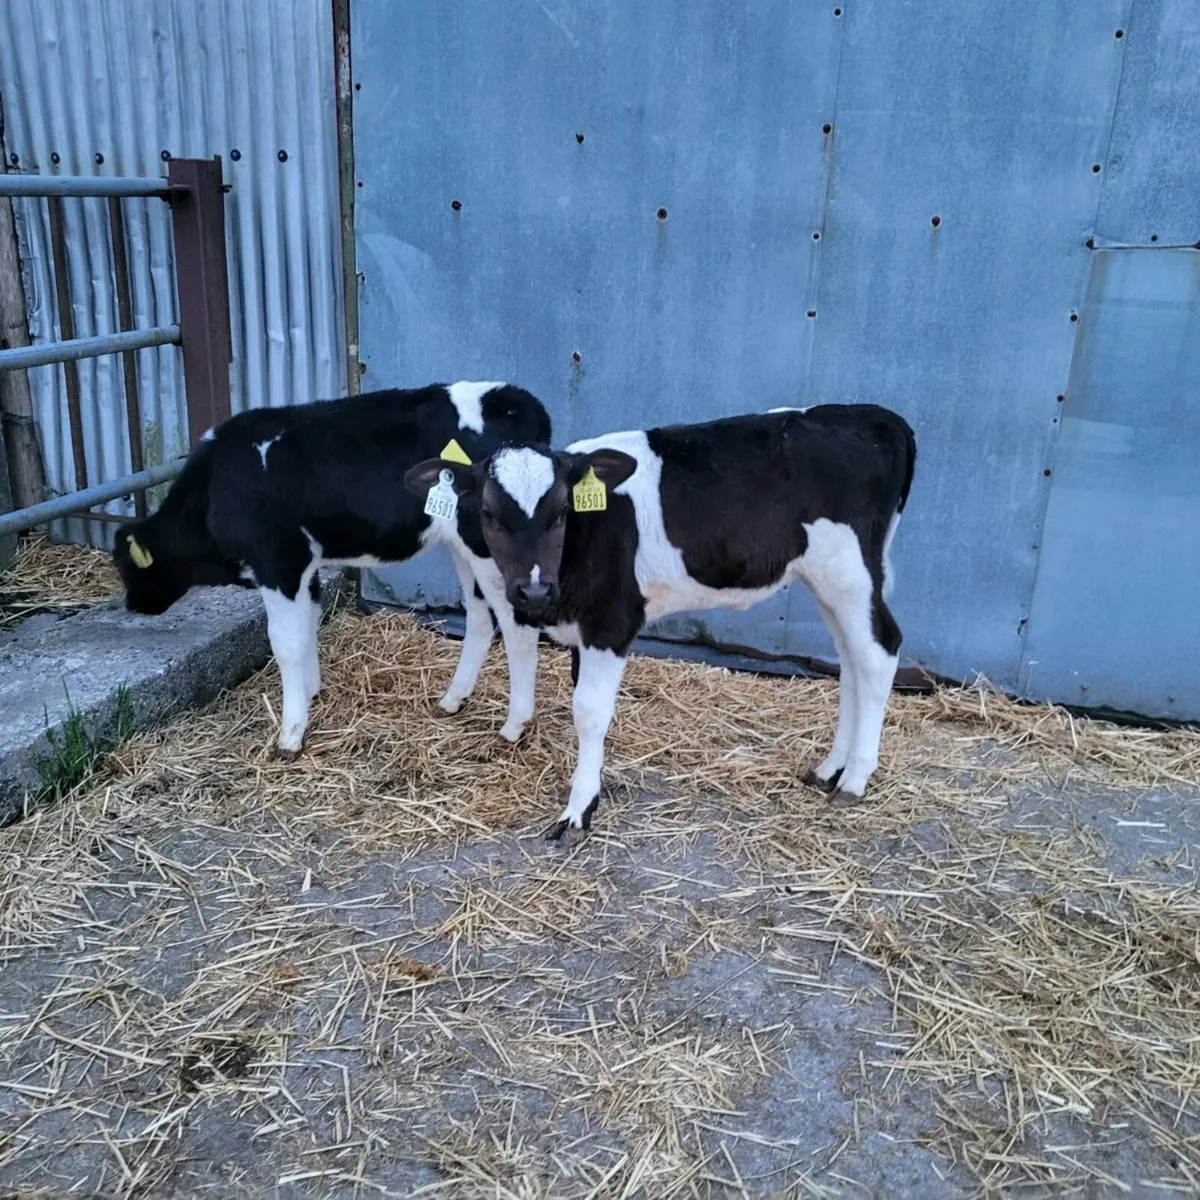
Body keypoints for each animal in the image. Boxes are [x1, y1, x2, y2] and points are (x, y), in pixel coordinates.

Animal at [113, 382, 549, 758]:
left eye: (126, 567)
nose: (132, 605)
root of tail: (512, 398)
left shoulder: (279, 562)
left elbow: (285, 643)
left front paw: (290, 734)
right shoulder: (306, 566)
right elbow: (308, 623)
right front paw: (310, 694)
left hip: (488, 547)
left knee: (518, 624)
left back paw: (514, 725)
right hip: (462, 546)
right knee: (479, 617)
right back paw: (452, 700)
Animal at [405, 404, 916, 838]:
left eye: (562, 510)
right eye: (490, 513)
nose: (533, 590)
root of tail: (874, 416)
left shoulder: (612, 620)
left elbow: (589, 711)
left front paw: (579, 809)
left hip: (848, 570)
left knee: (879, 652)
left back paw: (854, 779)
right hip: (827, 579)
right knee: (850, 659)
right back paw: (830, 769)